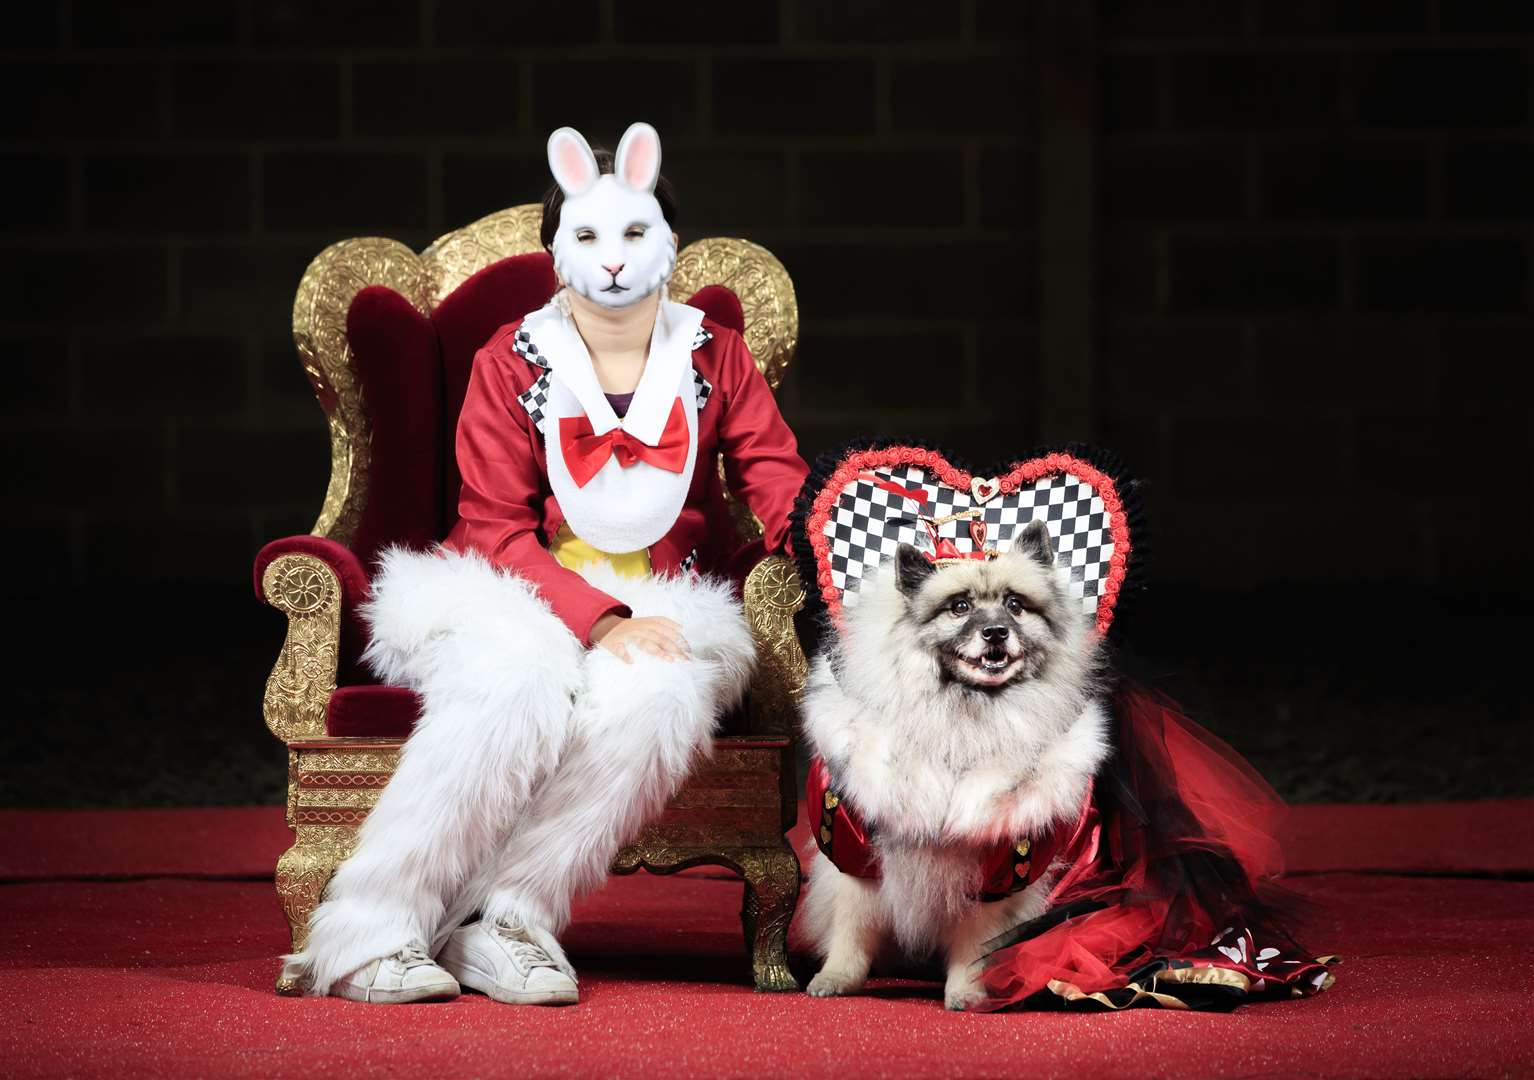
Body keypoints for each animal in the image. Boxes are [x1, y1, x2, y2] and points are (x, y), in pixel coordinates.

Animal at [797, 521, 1110, 1012]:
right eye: (959, 607)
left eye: (1015, 605)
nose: (996, 633)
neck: (962, 718)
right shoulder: (852, 848)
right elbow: (853, 928)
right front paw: (837, 978)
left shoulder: (1000, 869)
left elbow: (975, 943)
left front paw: (966, 991)